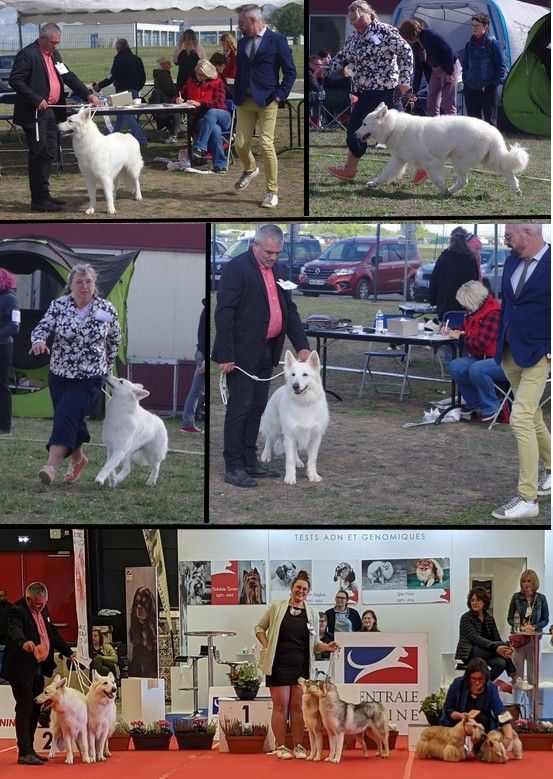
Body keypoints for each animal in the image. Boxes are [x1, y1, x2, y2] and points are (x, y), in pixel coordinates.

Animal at [258, 350, 328, 484]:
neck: (304, 403)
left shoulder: (315, 438)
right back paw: (266, 455)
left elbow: (312, 461)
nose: (295, 386)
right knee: (269, 439)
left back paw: (298, 461)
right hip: (275, 429)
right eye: (293, 374)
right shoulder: (290, 435)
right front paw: (290, 478)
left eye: (305, 375)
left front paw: (313, 475)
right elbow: (289, 460)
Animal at [356, 103, 528, 197]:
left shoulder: (431, 162)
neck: (394, 127)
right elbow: (385, 174)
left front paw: (443, 188)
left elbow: (435, 179)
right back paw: (516, 189)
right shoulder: (398, 160)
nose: (354, 134)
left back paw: (450, 191)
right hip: (488, 159)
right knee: (507, 170)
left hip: (460, 161)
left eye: (364, 124)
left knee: (463, 181)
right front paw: (373, 183)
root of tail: (492, 131)